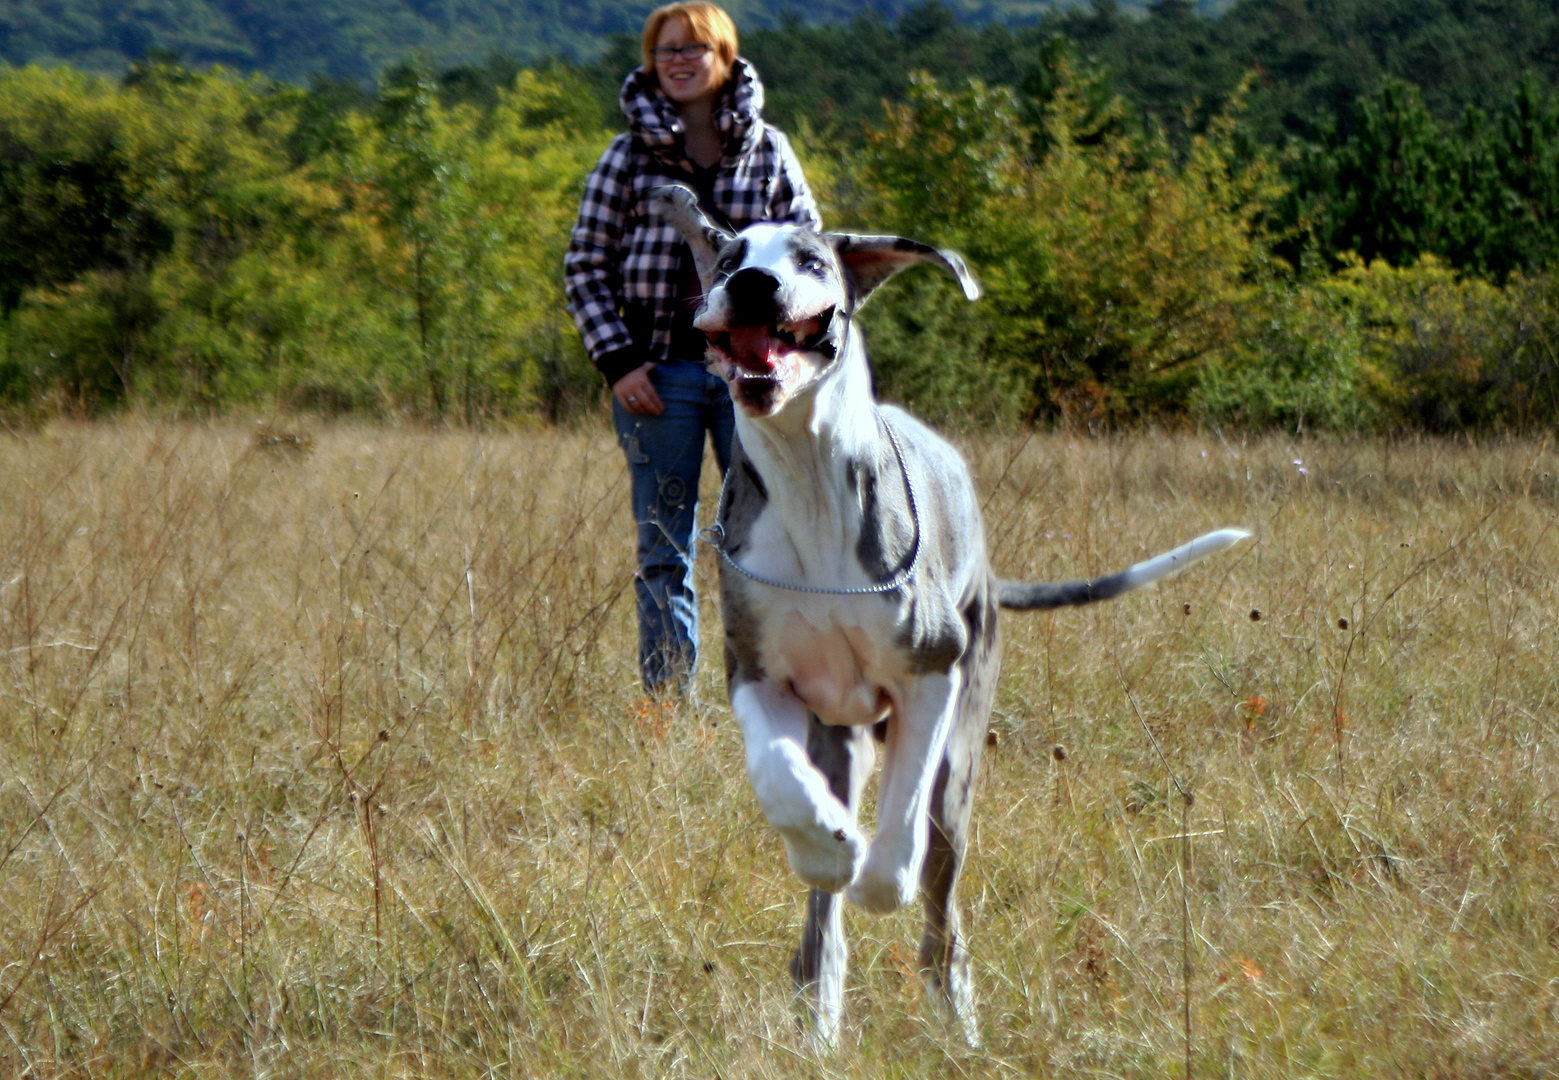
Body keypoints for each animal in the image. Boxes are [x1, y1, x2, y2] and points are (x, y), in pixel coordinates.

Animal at [651, 183, 1247, 1047]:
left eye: (809, 260)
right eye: (728, 260)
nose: (754, 286)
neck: (808, 478)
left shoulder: (932, 675)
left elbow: (899, 832)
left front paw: (877, 877)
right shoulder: (756, 673)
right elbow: (780, 779)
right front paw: (826, 842)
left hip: (960, 761)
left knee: (941, 908)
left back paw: (953, 1017)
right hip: (841, 736)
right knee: (824, 918)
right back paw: (820, 999)